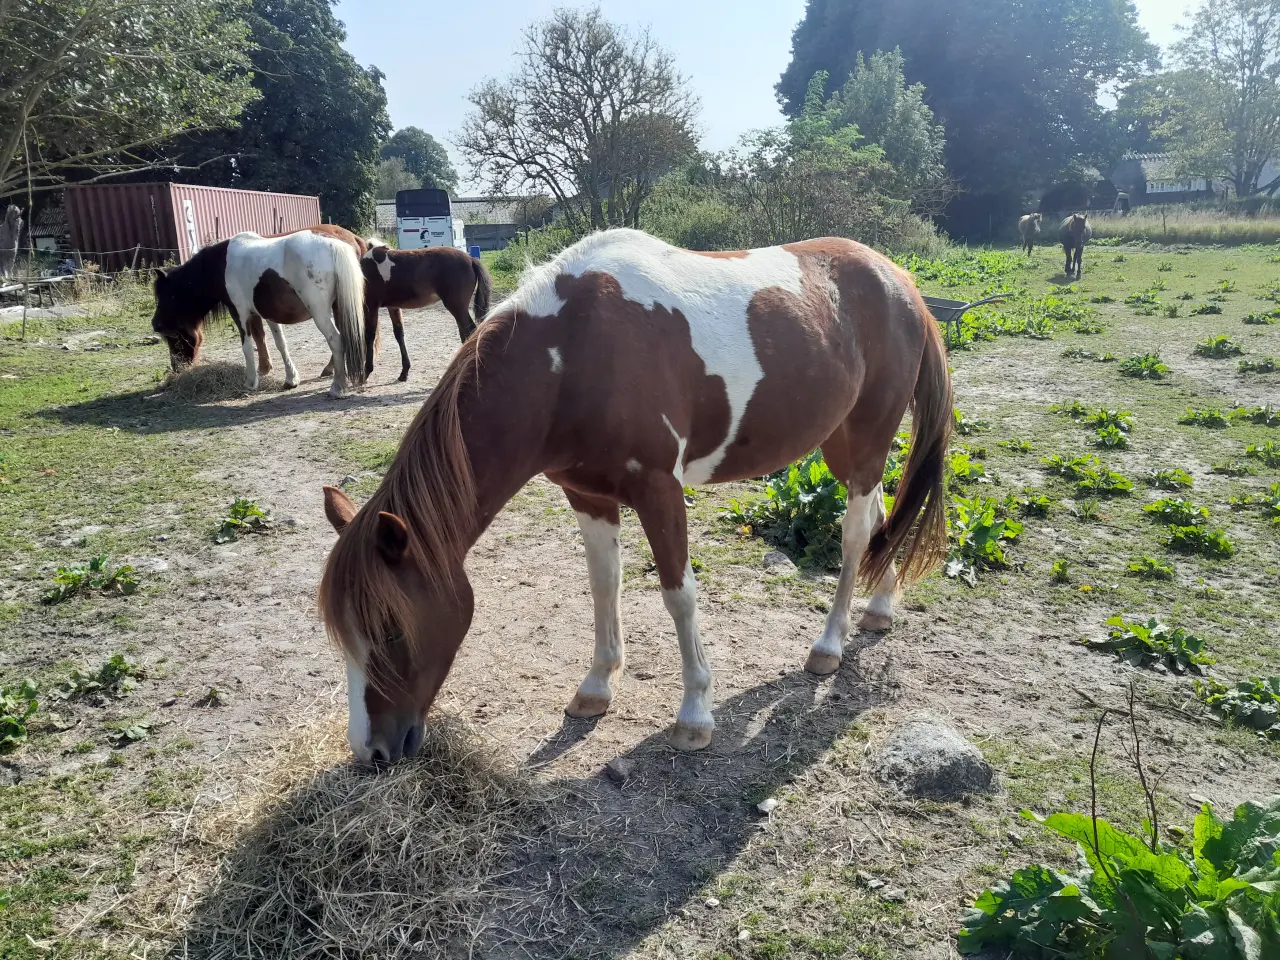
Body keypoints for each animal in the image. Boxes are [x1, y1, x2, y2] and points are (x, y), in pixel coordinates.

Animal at [150, 225, 367, 397]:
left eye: (171, 337)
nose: (177, 368)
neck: (220, 264)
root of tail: (334, 243)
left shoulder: (239, 312)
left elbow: (247, 346)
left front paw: (251, 382)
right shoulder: (268, 313)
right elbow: (280, 343)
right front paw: (291, 379)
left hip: (321, 312)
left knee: (336, 340)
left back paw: (338, 387)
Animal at [355, 241, 493, 382]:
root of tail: (471, 259)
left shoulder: (371, 306)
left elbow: (369, 335)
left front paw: (367, 371)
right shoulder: (393, 307)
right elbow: (399, 334)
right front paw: (404, 372)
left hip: (457, 307)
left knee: (470, 331)